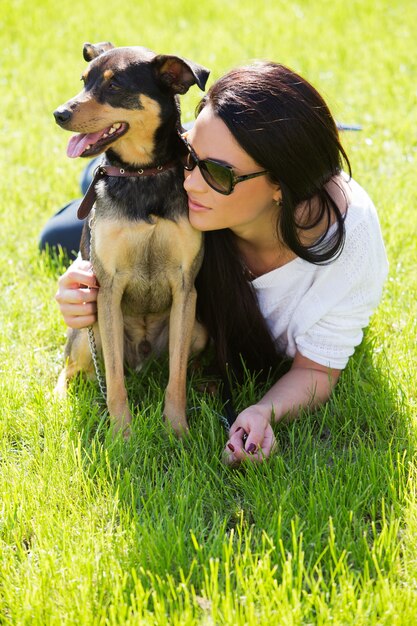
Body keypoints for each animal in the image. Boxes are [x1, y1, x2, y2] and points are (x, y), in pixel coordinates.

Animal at [54, 42, 210, 434]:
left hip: (197, 329)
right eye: (84, 80)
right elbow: (113, 381)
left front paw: (177, 430)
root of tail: (141, 361)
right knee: (72, 367)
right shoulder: (107, 289)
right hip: (88, 332)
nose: (58, 113)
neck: (142, 173)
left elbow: (176, 378)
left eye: (114, 85)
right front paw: (121, 434)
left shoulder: (185, 288)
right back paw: (60, 399)